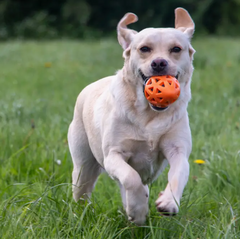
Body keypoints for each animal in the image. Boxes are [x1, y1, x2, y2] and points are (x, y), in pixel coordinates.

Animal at [67, 7, 195, 224]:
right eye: (144, 49)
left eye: (176, 49)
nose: (159, 63)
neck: (148, 114)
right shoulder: (113, 155)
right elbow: (130, 177)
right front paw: (138, 211)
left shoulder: (178, 149)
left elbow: (179, 173)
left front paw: (168, 203)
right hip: (83, 166)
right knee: (82, 192)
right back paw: (80, 217)